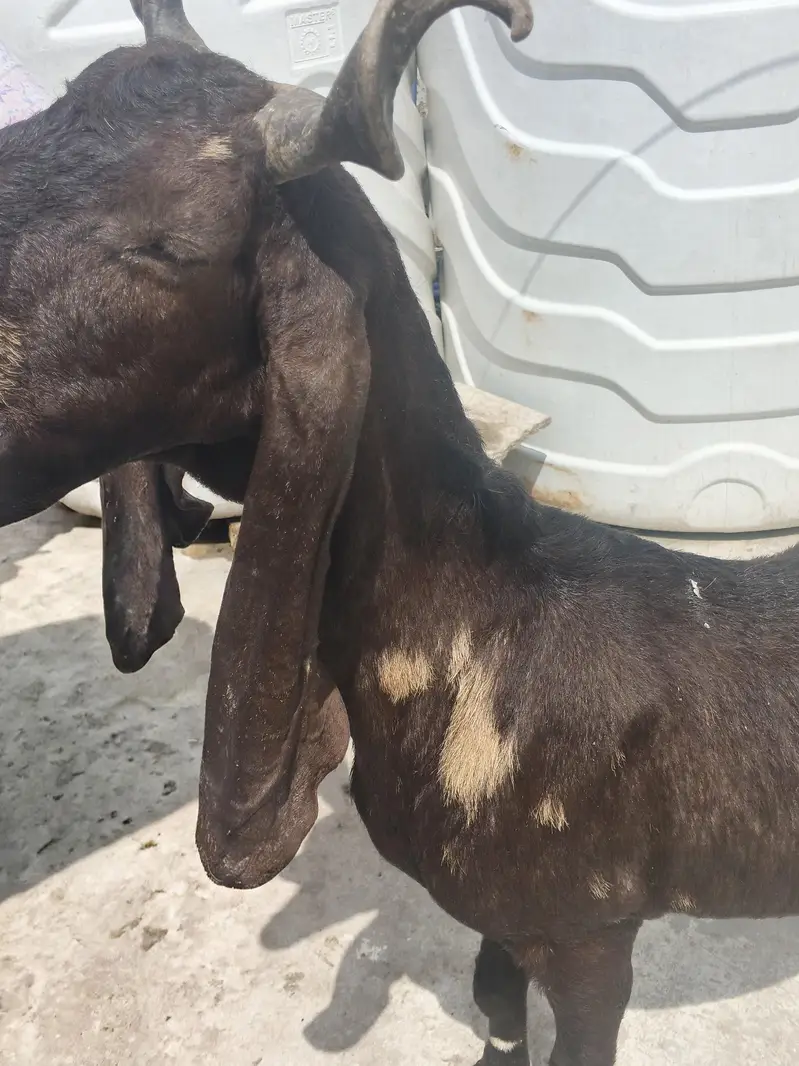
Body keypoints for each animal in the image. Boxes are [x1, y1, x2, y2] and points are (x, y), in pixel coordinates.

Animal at [2, 1, 799, 1063]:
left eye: (172, 247)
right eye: (22, 135)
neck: (484, 629)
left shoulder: (592, 933)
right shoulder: (512, 929)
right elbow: (496, 1006)